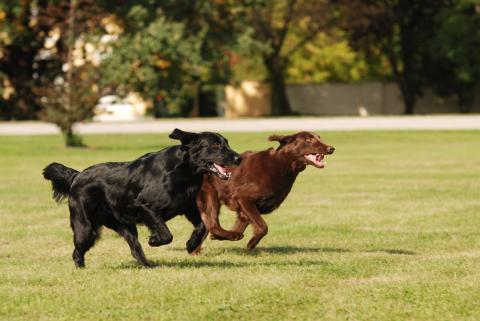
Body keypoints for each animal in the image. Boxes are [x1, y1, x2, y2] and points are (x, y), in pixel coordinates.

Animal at [43, 129, 242, 266]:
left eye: (226, 143)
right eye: (215, 145)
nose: (238, 158)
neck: (183, 171)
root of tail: (76, 176)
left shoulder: (187, 207)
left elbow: (203, 226)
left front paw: (191, 245)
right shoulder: (146, 206)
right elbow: (167, 234)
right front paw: (154, 240)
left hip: (125, 227)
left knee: (135, 248)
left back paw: (148, 265)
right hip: (85, 228)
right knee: (77, 252)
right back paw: (81, 269)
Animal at [197, 131, 336, 250]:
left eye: (319, 137)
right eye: (309, 140)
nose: (331, 148)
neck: (282, 165)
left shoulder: (246, 210)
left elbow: (241, 226)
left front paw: (222, 237)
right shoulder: (244, 199)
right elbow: (263, 227)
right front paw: (251, 243)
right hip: (210, 196)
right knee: (213, 224)